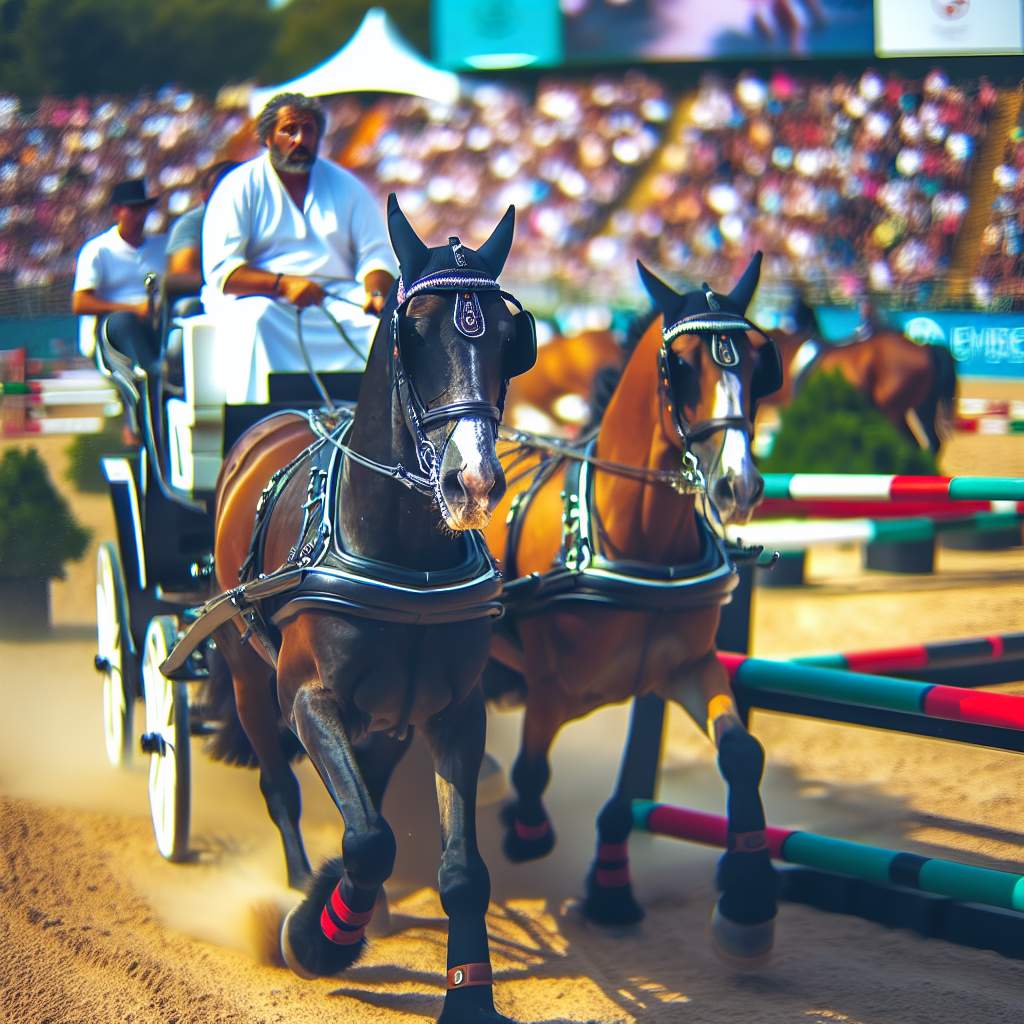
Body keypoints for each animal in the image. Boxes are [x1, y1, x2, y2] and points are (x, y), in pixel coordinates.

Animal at [212, 193, 540, 1024]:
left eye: (509, 340)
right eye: (412, 331)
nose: (473, 483)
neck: (404, 559)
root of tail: (278, 415)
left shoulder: (455, 709)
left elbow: (461, 871)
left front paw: (469, 993)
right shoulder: (307, 696)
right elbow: (367, 840)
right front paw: (316, 936)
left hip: (387, 715)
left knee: (371, 788)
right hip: (248, 678)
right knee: (281, 787)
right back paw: (308, 887)